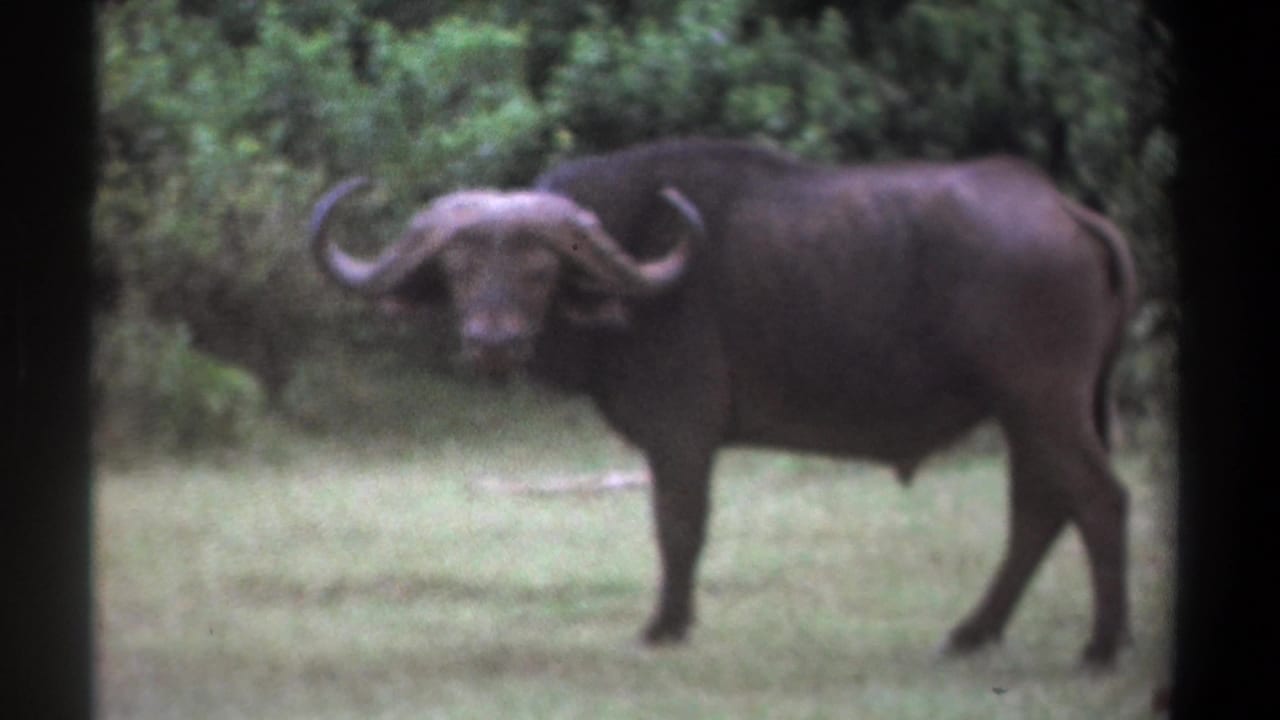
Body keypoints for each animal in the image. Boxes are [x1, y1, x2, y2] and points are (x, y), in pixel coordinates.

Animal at [309, 137, 1137, 666]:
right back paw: (972, 634)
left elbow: (678, 527)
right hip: (1029, 413)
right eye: (458, 268)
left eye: (540, 269)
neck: (641, 278)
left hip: (1043, 402)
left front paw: (664, 627)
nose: (492, 340)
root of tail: (1065, 210)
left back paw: (1100, 646)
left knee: (1097, 499)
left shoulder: (681, 432)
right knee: (1039, 509)